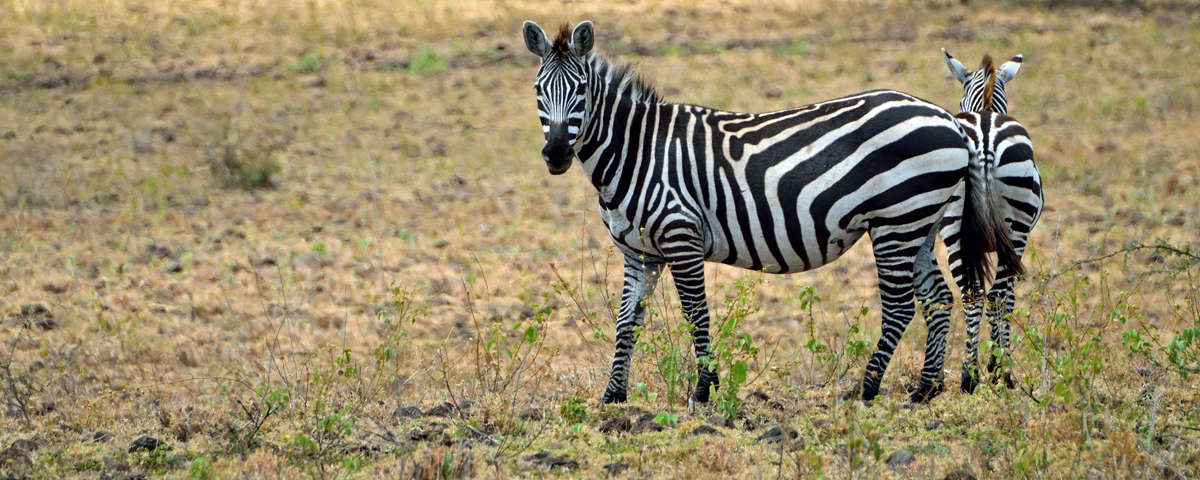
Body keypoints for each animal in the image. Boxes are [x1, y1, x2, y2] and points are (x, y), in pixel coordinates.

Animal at [521, 20, 1020, 404]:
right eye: (538, 91)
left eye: (581, 92)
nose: (555, 155)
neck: (637, 151)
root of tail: (950, 120)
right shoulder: (638, 253)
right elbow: (626, 323)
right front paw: (613, 396)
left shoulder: (681, 237)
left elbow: (696, 314)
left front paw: (704, 390)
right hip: (919, 221)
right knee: (939, 298)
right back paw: (925, 389)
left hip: (896, 220)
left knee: (900, 306)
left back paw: (866, 388)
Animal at [941, 49, 1043, 392]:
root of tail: (984, 138)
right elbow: (1008, 298)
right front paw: (996, 361)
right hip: (1017, 228)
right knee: (998, 295)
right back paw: (1001, 371)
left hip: (954, 228)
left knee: (973, 294)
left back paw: (970, 374)